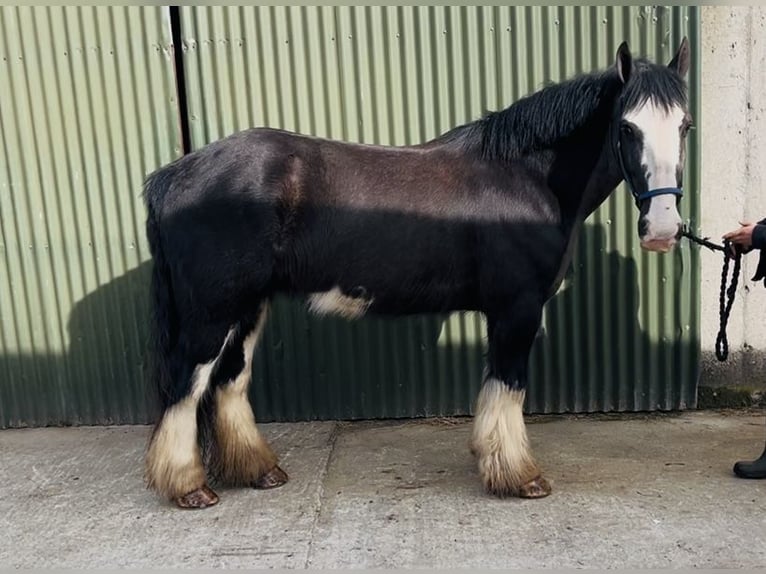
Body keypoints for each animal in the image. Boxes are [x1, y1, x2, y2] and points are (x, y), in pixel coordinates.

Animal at [142, 38, 692, 508]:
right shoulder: (517, 308)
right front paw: (520, 477)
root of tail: (173, 175)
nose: (663, 228)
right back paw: (189, 487)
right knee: (186, 385)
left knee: (229, 381)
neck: (527, 177)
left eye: (685, 126)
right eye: (627, 127)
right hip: (212, 312)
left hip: (247, 306)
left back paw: (258, 471)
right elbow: (509, 386)